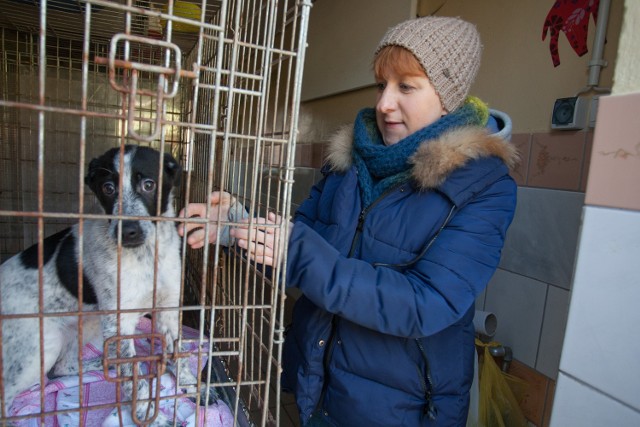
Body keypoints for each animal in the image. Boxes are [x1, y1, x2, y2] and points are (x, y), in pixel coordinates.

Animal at [0, 146, 198, 424]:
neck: (145, 255)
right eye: (108, 188)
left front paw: (190, 384)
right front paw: (150, 416)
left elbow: (177, 353)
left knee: (61, 368)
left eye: (149, 184)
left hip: (88, 326)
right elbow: (134, 378)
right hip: (40, 347)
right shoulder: (119, 324)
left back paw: (104, 363)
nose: (127, 231)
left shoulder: (168, 309)